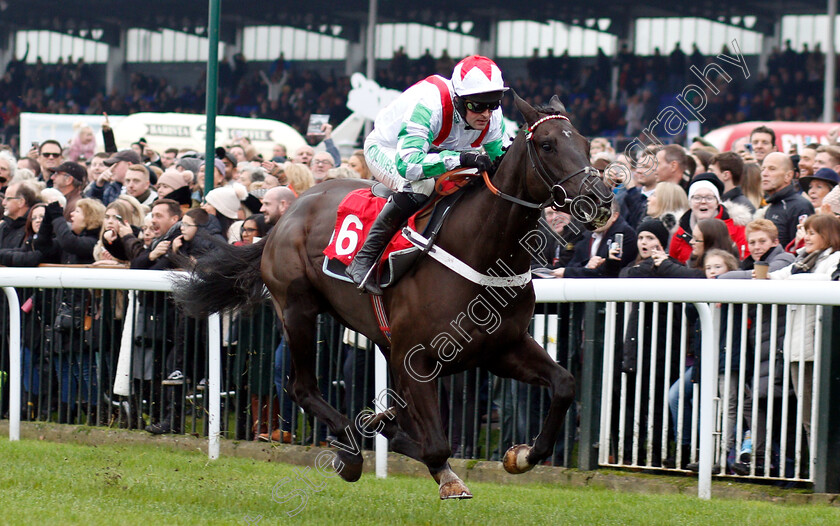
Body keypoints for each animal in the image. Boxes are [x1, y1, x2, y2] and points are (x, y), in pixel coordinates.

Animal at [176, 93, 612, 502]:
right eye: (547, 144)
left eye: (586, 143)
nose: (602, 197)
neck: (482, 252)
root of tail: (287, 213)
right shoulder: (415, 356)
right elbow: (436, 444)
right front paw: (435, 468)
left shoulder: (500, 348)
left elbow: (565, 384)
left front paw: (521, 455)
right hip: (297, 309)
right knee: (302, 388)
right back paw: (352, 449)